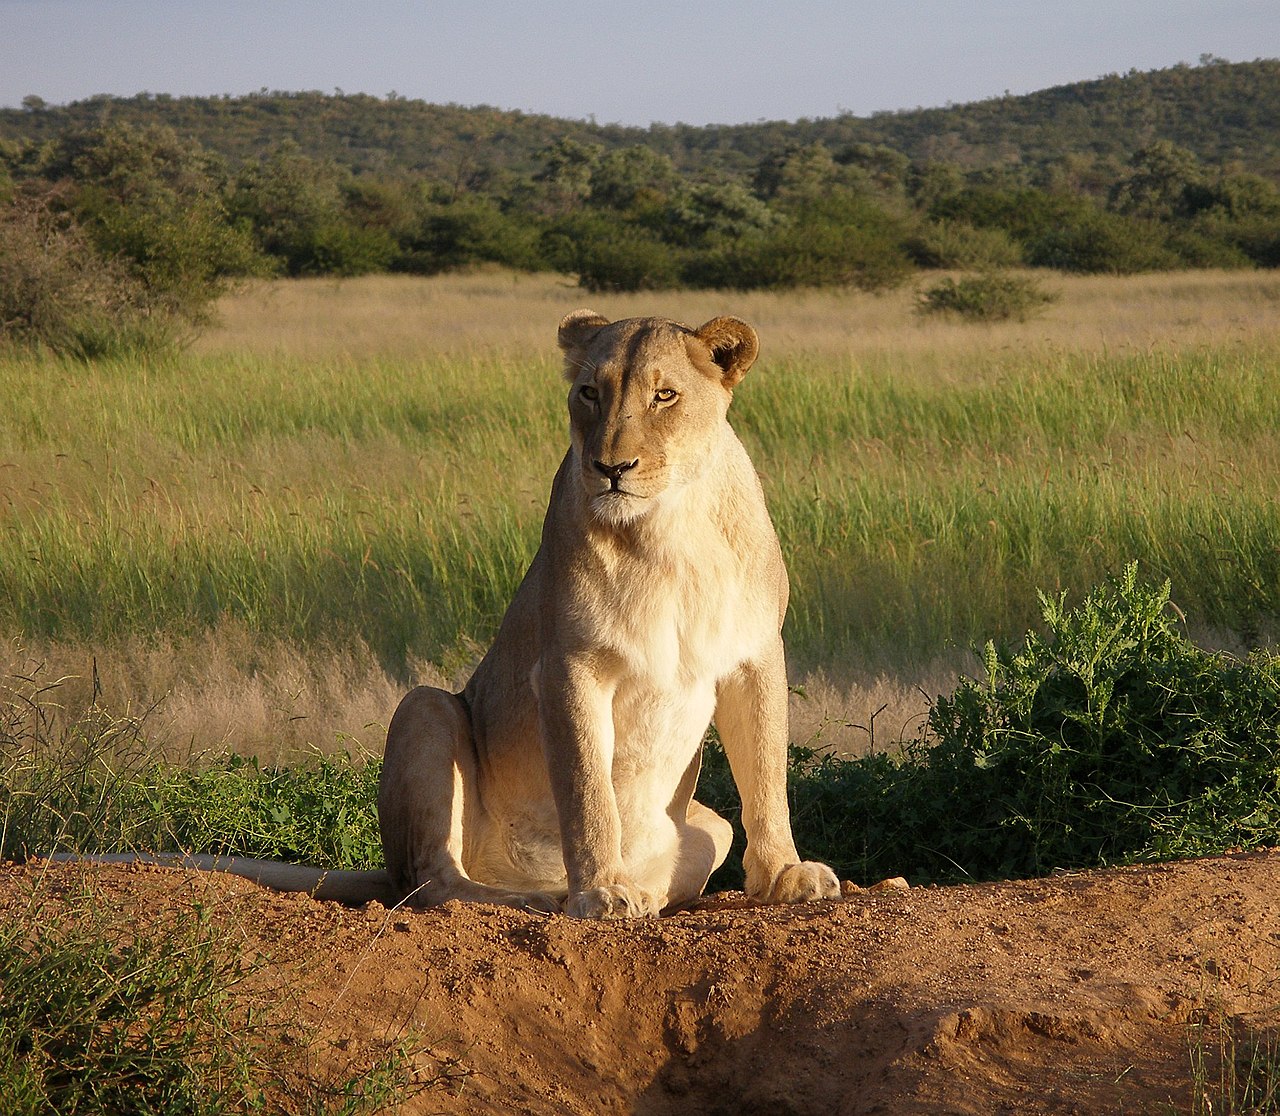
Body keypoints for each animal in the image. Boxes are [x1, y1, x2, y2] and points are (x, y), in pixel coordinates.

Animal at [52, 311, 839, 919]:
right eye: (589, 392)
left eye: (665, 395)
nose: (610, 468)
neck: (670, 526)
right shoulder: (566, 666)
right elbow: (587, 789)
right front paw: (601, 892)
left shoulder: (755, 654)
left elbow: (767, 774)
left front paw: (785, 876)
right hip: (426, 708)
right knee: (430, 884)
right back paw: (545, 897)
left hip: (706, 824)